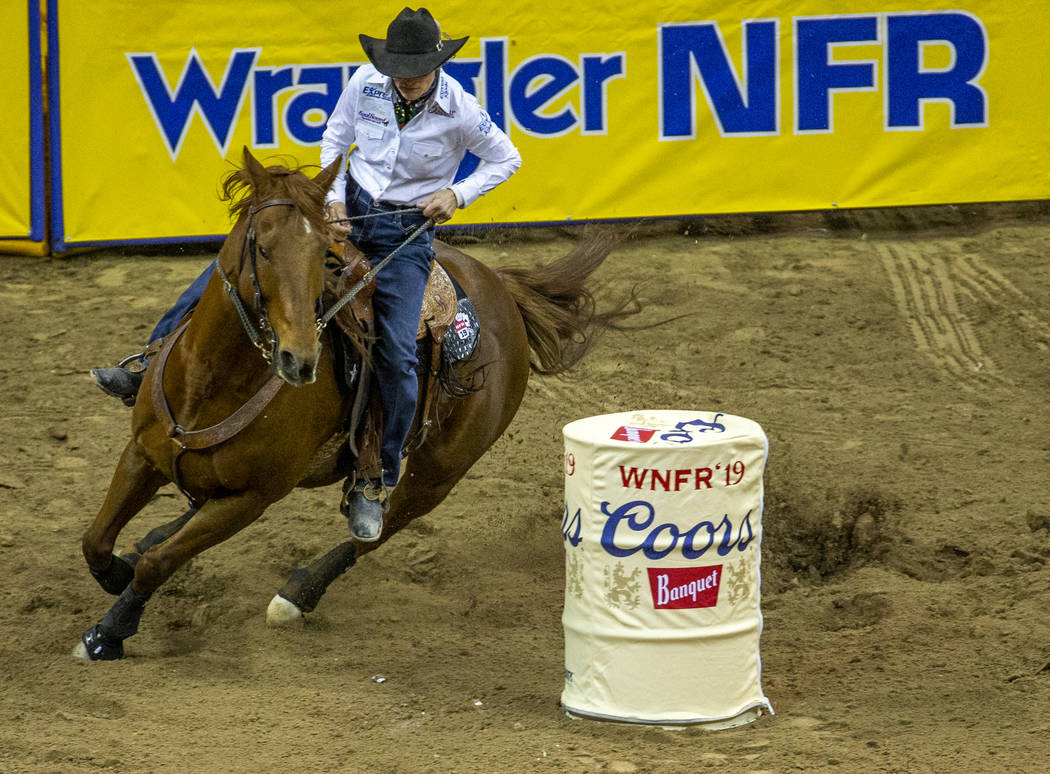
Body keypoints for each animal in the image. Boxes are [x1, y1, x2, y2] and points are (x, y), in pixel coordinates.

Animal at [77, 149, 630, 659]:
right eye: (262, 247)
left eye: (322, 255)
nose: (299, 359)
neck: (211, 383)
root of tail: (504, 293)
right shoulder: (143, 453)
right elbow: (96, 539)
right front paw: (120, 569)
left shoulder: (251, 499)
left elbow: (159, 562)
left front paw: (108, 632)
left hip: (441, 471)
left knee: (380, 529)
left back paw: (298, 594)